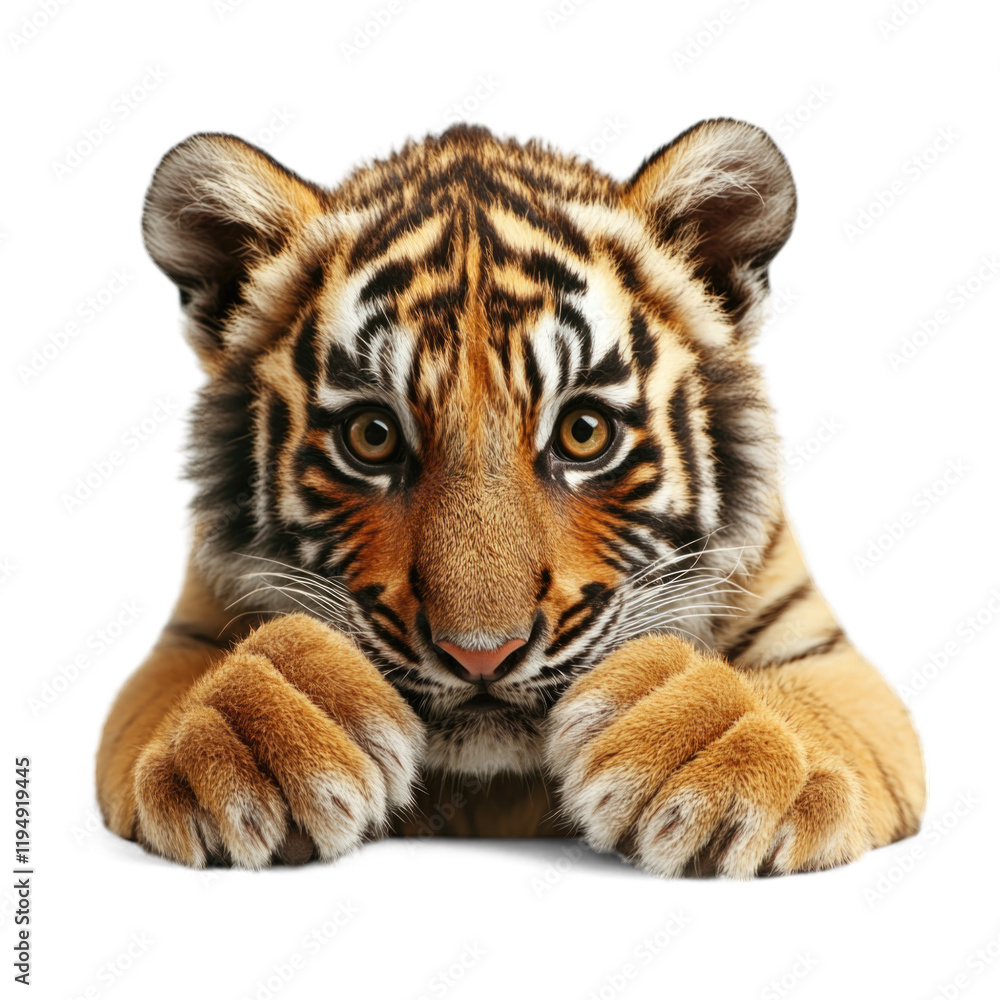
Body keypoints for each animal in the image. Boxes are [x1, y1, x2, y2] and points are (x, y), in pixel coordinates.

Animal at [96, 119, 925, 877]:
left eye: (584, 433)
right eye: (372, 436)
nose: (481, 654)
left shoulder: (833, 663)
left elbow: (817, 722)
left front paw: (706, 742)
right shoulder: (182, 641)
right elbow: (174, 701)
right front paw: (257, 731)